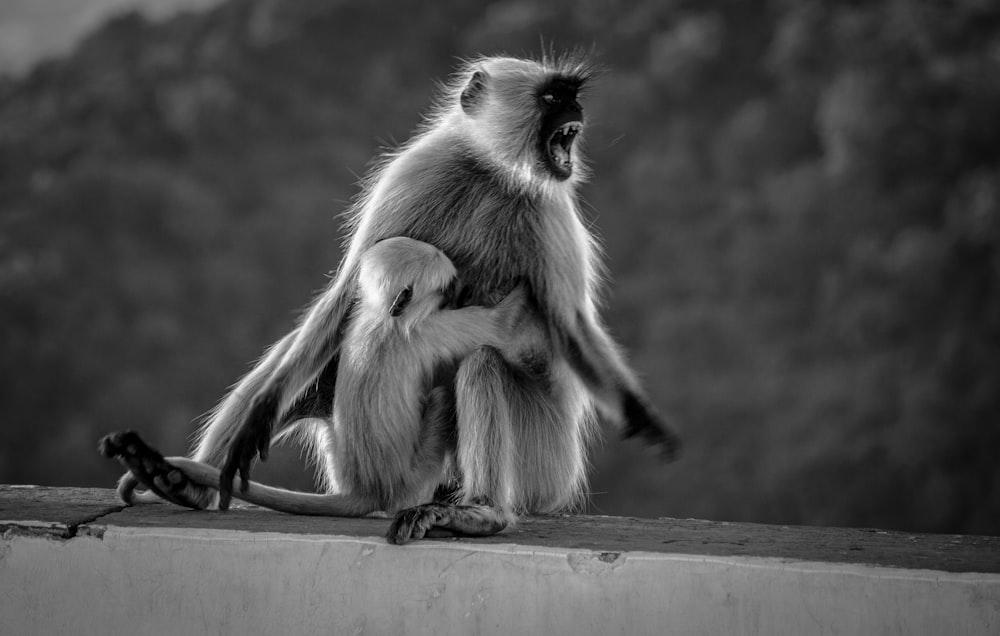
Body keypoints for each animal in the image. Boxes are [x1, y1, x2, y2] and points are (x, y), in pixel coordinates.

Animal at [100, 238, 540, 540]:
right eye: (448, 290)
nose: (459, 291)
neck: (385, 320)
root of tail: (369, 490)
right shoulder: (434, 327)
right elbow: (501, 324)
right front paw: (526, 289)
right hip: (416, 478)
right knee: (460, 380)